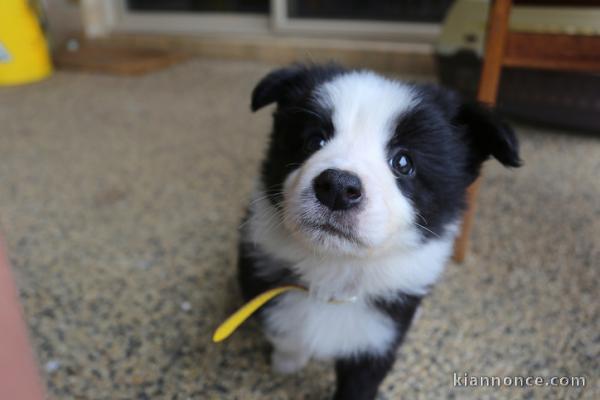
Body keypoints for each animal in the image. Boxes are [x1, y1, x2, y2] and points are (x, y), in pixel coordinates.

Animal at [238, 64, 520, 398]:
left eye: (403, 162)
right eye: (314, 141)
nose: (338, 188)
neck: (335, 271)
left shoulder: (379, 337)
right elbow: (283, 331)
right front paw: (286, 362)